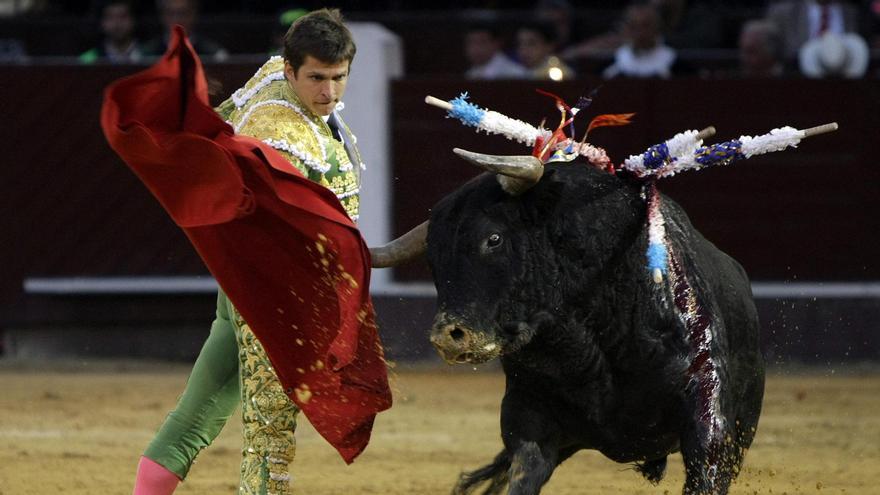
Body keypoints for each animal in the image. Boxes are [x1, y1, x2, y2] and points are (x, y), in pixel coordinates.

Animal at [424, 163, 764, 495]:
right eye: (432, 254)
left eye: (493, 239)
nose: (447, 337)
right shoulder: (527, 414)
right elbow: (523, 472)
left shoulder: (707, 413)